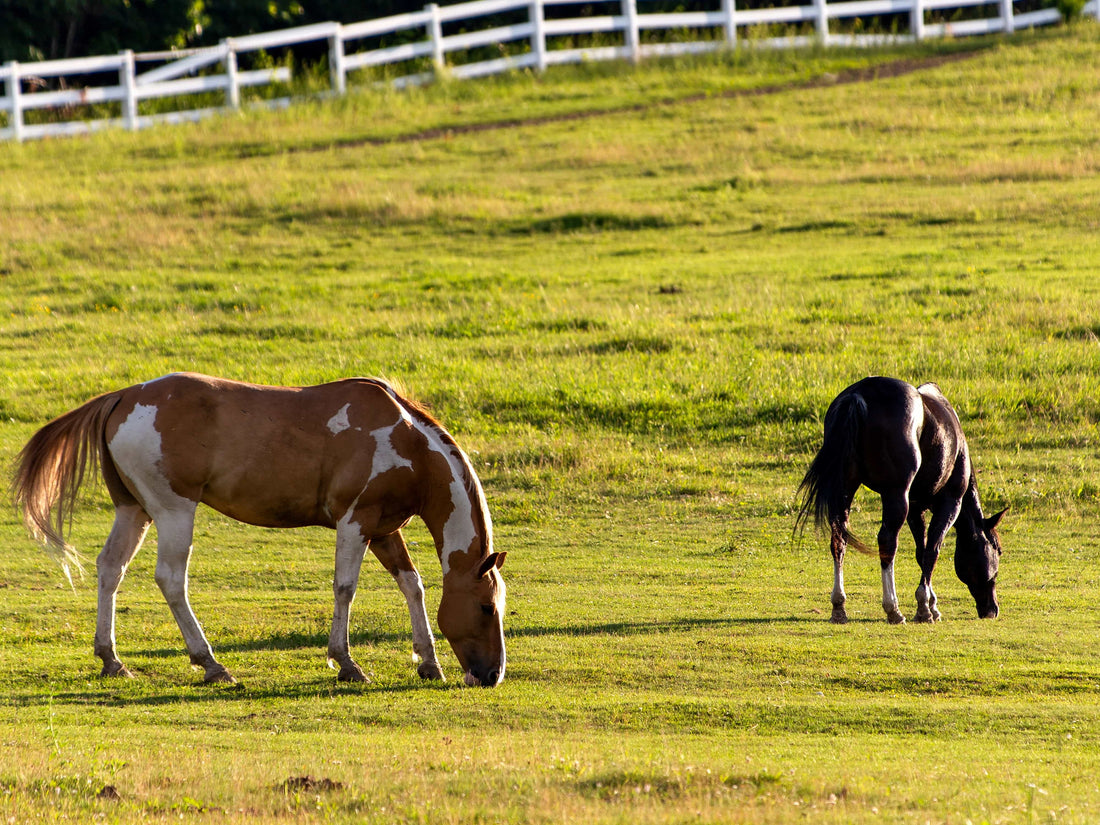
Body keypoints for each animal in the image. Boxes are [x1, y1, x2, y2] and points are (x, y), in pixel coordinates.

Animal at [12, 373, 506, 687]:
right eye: (486, 608)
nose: (493, 675)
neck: (407, 441)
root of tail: (124, 396)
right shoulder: (355, 523)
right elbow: (345, 588)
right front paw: (346, 662)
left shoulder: (384, 529)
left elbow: (413, 585)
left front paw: (429, 661)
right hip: (174, 511)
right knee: (171, 579)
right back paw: (210, 663)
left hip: (134, 510)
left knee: (110, 569)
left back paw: (111, 659)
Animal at [796, 376, 1005, 624]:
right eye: (997, 550)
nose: (992, 609)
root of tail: (858, 395)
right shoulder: (950, 504)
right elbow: (932, 550)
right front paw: (925, 607)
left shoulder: (915, 509)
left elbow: (920, 552)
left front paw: (931, 604)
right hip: (896, 494)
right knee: (887, 542)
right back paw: (893, 609)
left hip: (845, 488)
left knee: (839, 538)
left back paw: (839, 606)